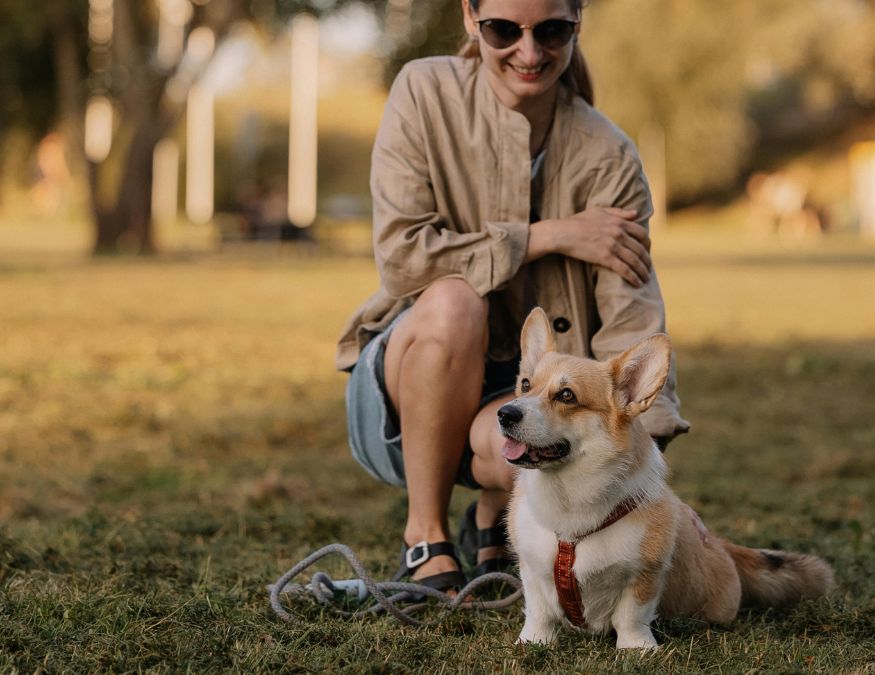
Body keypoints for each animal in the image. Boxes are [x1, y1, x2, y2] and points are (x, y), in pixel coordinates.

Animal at [500, 310, 836, 648]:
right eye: (525, 384)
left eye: (567, 395)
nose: (504, 413)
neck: (570, 499)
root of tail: (722, 545)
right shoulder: (532, 569)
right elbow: (539, 611)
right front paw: (533, 642)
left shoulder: (645, 574)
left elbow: (630, 616)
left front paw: (637, 649)